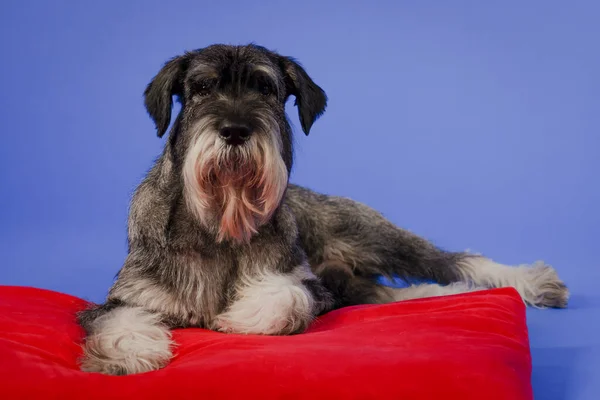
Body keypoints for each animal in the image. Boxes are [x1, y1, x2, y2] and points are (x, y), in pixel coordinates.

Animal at [77, 43, 568, 376]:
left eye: (267, 89)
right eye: (199, 88)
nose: (235, 130)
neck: (220, 225)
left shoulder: (312, 286)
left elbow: (287, 295)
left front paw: (246, 314)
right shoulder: (127, 297)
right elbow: (117, 317)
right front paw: (132, 349)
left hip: (374, 237)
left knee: (453, 260)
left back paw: (529, 281)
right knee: (387, 293)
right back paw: (444, 298)